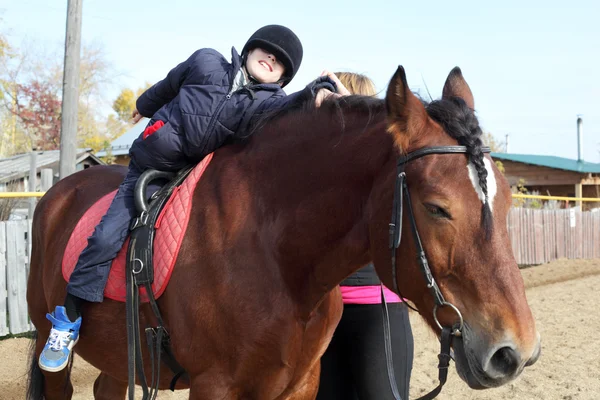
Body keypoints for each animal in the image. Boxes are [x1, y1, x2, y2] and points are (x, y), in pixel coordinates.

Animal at [25, 65, 540, 396]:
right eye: (437, 208)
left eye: (507, 202)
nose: (515, 353)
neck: (275, 257)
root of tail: (58, 191)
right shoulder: (214, 386)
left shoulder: (299, 384)